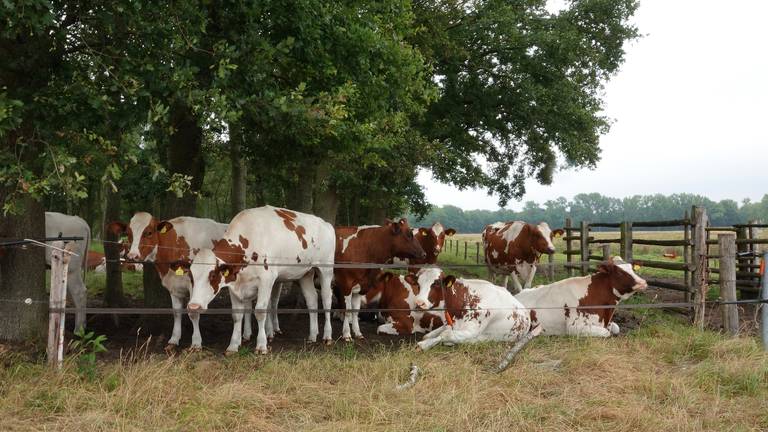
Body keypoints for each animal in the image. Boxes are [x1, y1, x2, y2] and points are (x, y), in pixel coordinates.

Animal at [108, 212, 228, 352]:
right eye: (128, 233)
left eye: (149, 232)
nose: (132, 256)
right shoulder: (173, 286)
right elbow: (176, 312)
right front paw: (174, 340)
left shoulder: (194, 285)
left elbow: (193, 312)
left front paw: (196, 344)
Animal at [188, 206, 334, 354]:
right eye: (191, 276)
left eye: (212, 275)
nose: (193, 306)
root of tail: (325, 224)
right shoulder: (233, 284)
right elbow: (236, 315)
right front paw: (233, 346)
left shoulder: (266, 279)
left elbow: (260, 311)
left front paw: (261, 345)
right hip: (306, 274)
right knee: (312, 300)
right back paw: (312, 335)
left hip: (326, 269)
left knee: (326, 299)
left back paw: (327, 336)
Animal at [408, 270, 536, 352]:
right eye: (418, 284)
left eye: (436, 284)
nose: (419, 303)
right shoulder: (452, 323)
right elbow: (429, 335)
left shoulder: (471, 331)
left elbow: (445, 334)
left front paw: (424, 345)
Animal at [516, 256, 648, 338]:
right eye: (620, 272)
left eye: (632, 268)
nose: (643, 282)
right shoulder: (573, 327)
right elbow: (606, 332)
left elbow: (616, 328)